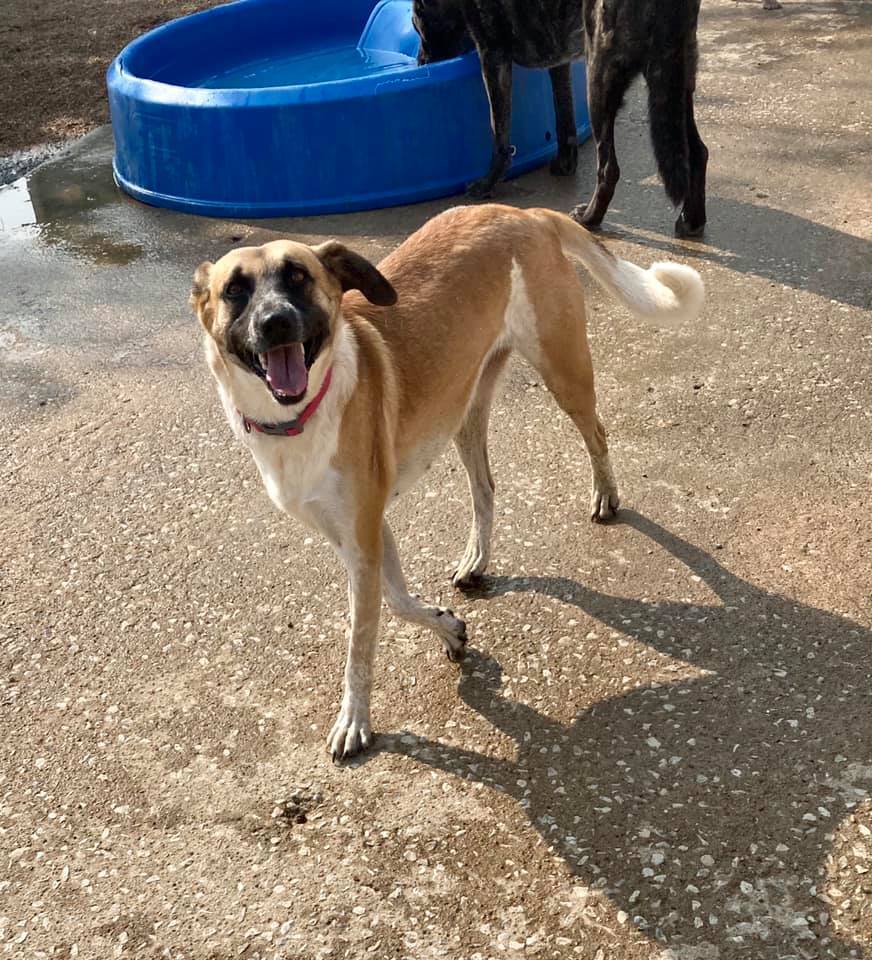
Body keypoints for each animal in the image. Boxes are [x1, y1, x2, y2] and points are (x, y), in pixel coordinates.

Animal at [191, 202, 700, 756]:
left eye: (299, 276)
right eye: (235, 290)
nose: (276, 321)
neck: (300, 415)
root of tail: (522, 212)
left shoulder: (363, 536)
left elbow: (361, 642)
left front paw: (354, 719)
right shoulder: (361, 533)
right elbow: (396, 600)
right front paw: (449, 628)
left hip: (563, 370)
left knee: (597, 433)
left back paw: (605, 495)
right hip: (465, 410)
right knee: (486, 488)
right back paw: (476, 560)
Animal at [414, 0, 708, 237]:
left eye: (418, 20)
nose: (420, 63)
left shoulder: (493, 55)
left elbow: (498, 131)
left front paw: (488, 183)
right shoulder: (558, 61)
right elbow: (563, 117)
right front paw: (566, 163)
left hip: (599, 76)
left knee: (609, 168)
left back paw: (590, 218)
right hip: (673, 81)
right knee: (697, 152)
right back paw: (691, 221)